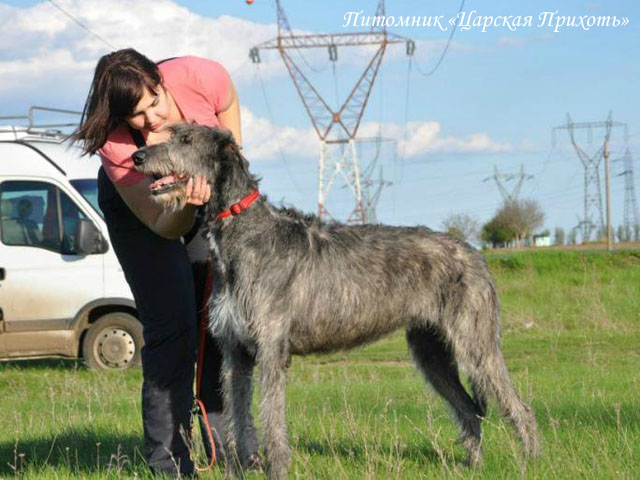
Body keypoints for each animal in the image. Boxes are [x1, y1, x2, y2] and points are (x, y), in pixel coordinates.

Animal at [134, 124, 540, 480]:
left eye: (186, 139)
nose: (137, 156)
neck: (242, 232)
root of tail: (475, 254)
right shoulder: (236, 354)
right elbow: (238, 419)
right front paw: (238, 471)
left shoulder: (271, 351)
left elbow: (272, 421)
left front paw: (276, 470)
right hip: (430, 351)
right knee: (469, 410)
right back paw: (474, 467)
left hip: (477, 345)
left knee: (520, 408)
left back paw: (530, 463)